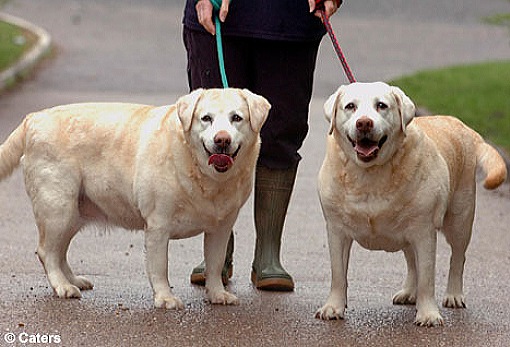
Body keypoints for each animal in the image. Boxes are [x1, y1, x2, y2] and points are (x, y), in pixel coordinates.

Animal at [0, 88, 270, 312]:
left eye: (237, 118)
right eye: (206, 118)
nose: (222, 139)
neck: (204, 174)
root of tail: (33, 118)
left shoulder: (221, 227)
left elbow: (214, 264)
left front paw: (217, 294)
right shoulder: (158, 226)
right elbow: (160, 267)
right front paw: (165, 298)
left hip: (73, 212)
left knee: (59, 251)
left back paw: (74, 279)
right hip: (58, 207)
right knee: (47, 251)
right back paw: (63, 286)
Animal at [316, 83, 508, 328]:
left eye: (381, 106)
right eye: (350, 106)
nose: (364, 123)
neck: (370, 175)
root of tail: (465, 127)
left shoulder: (424, 232)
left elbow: (427, 278)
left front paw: (428, 314)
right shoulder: (337, 230)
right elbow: (338, 274)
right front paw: (333, 307)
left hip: (459, 220)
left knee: (457, 258)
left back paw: (454, 295)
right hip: (406, 230)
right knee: (411, 261)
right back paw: (409, 292)